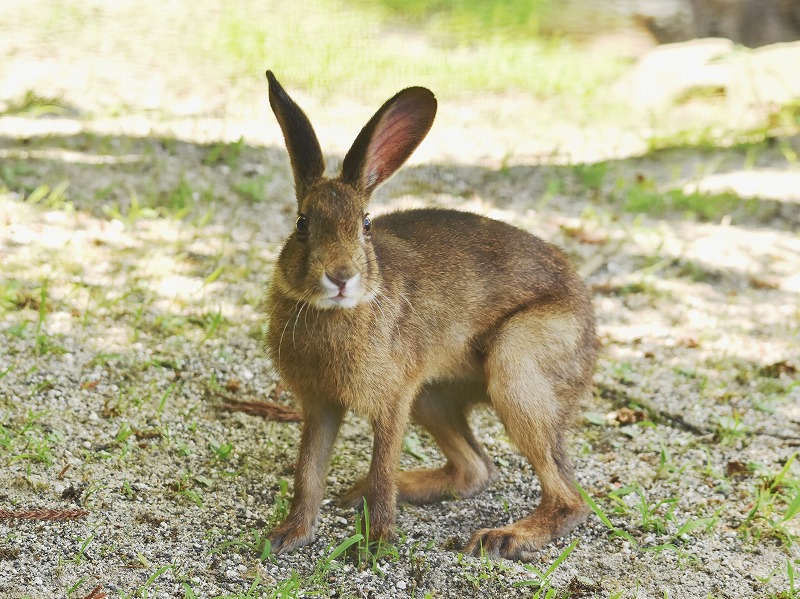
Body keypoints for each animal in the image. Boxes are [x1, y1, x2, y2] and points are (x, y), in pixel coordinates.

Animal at [263, 70, 598, 561]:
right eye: (302, 224)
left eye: (365, 225)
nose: (340, 277)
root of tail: (592, 335)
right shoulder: (321, 404)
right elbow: (308, 471)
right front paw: (289, 535)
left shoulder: (394, 399)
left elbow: (382, 465)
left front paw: (377, 543)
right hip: (433, 397)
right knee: (477, 469)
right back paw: (368, 493)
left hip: (517, 368)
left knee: (569, 499)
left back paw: (504, 537)